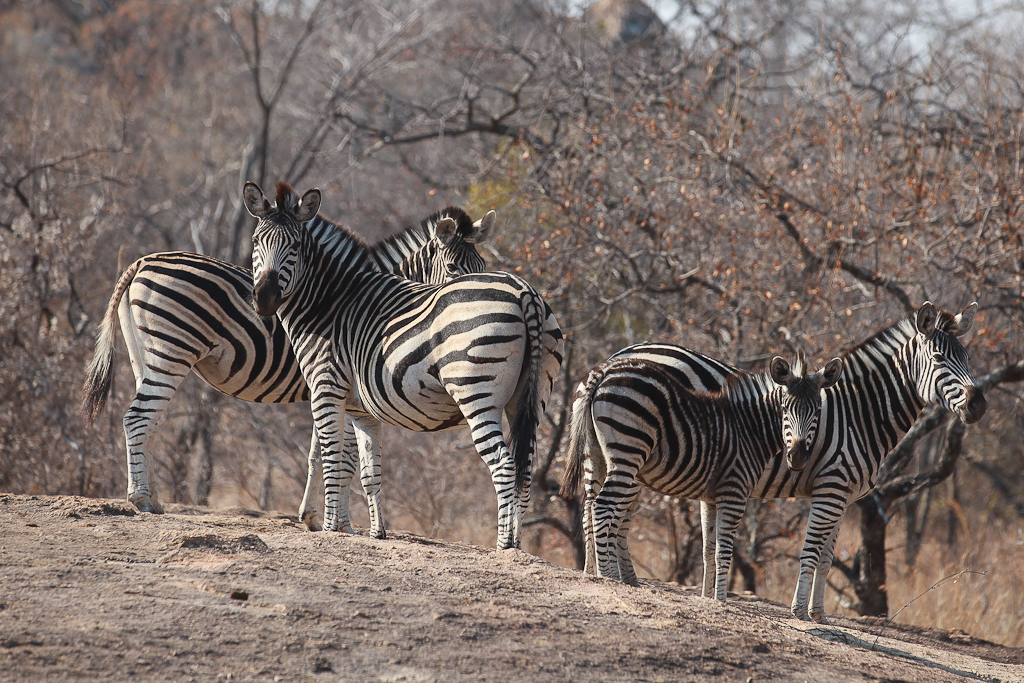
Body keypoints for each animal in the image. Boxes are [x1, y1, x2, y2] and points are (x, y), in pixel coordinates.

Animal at [80, 204, 495, 524]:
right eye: (454, 268)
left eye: (482, 262)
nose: (473, 302)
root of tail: (142, 261)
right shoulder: (341, 385)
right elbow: (342, 457)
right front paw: (339, 523)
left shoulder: (331, 388)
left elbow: (319, 454)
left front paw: (313, 517)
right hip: (171, 352)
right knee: (137, 418)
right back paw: (142, 500)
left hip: (147, 356)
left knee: (146, 421)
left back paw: (149, 496)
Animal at [243, 180, 565, 548]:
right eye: (256, 242)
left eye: (295, 246)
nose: (264, 298)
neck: (329, 303)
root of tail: (525, 292)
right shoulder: (360, 409)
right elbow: (366, 470)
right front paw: (372, 532)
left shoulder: (326, 388)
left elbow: (332, 460)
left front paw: (329, 528)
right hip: (531, 397)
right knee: (525, 469)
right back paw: (517, 547)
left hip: (476, 393)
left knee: (504, 466)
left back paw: (504, 547)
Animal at [561, 350, 839, 602]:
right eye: (784, 409)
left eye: (817, 411)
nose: (798, 457)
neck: (748, 429)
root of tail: (603, 371)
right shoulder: (734, 490)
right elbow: (724, 551)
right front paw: (721, 601)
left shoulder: (712, 497)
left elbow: (710, 549)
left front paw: (711, 597)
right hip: (628, 451)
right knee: (602, 507)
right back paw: (607, 577)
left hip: (595, 455)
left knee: (589, 507)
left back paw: (597, 574)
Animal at [598, 301, 983, 622]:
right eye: (939, 358)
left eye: (967, 358)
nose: (978, 404)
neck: (858, 415)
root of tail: (621, 354)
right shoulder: (831, 488)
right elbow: (811, 551)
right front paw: (799, 611)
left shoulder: (842, 496)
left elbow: (826, 558)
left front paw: (819, 614)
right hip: (639, 456)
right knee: (615, 510)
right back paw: (614, 578)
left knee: (617, 512)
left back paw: (622, 578)